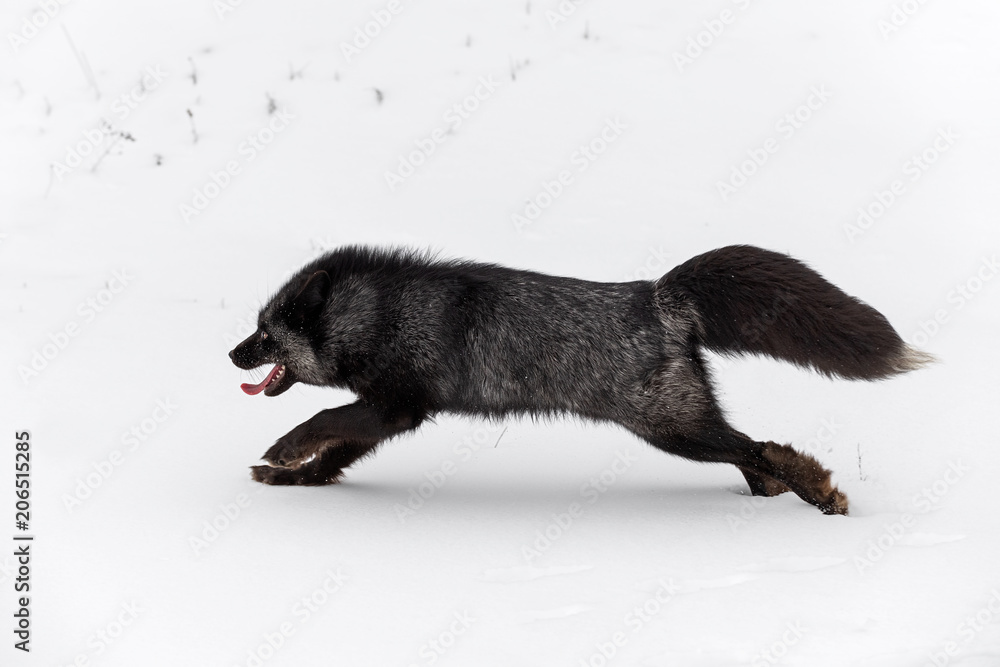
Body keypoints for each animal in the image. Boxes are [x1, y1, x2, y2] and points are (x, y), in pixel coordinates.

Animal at [228, 245, 933, 515]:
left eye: (266, 334)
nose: (232, 356)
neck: (381, 314)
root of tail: (659, 297)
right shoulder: (387, 416)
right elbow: (334, 454)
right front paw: (293, 480)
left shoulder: (397, 406)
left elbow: (321, 421)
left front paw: (283, 451)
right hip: (687, 428)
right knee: (754, 453)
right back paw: (771, 497)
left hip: (675, 431)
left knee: (762, 448)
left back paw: (821, 497)